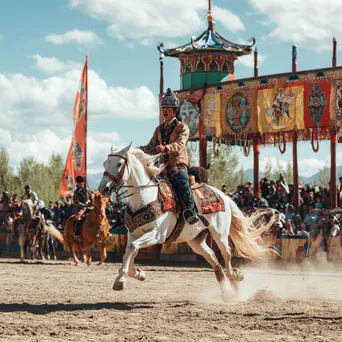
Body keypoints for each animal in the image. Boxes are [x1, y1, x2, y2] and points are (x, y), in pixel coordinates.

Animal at [98, 144, 272, 300]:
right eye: (105, 163)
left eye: (119, 164)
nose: (103, 189)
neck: (144, 197)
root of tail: (223, 196)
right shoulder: (133, 233)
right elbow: (130, 251)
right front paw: (138, 274)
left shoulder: (156, 235)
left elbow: (132, 249)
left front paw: (120, 280)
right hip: (196, 240)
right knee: (212, 257)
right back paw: (227, 290)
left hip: (220, 233)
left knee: (226, 253)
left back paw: (235, 276)